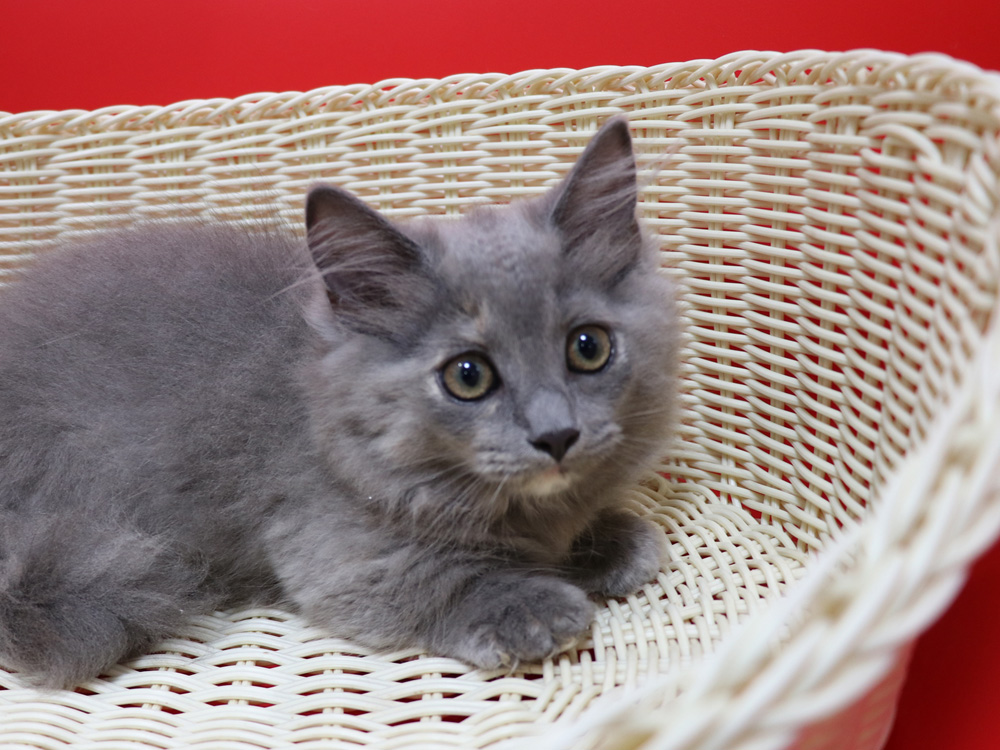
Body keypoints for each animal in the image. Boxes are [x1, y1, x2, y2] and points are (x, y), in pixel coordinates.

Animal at [0, 120, 680, 692]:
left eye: (588, 348)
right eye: (467, 376)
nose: (556, 434)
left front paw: (605, 541)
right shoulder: (334, 548)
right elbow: (439, 578)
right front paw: (532, 607)